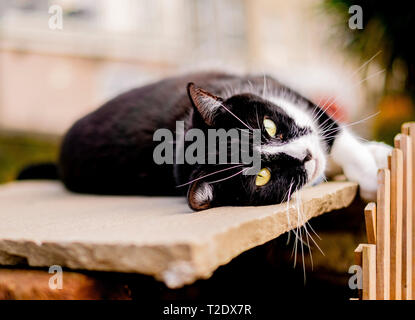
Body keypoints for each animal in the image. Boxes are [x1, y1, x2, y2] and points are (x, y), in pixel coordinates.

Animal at [57, 71, 392, 210]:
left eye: (269, 126)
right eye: (262, 176)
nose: (306, 156)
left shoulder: (275, 88)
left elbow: (333, 131)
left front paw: (370, 169)